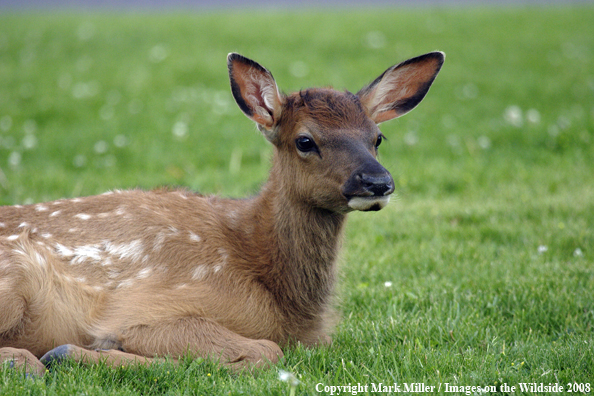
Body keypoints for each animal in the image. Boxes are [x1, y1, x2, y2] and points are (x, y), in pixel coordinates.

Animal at [0, 51, 442, 372]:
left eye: (377, 138)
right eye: (305, 141)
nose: (377, 182)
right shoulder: (147, 306)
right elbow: (266, 351)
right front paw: (87, 350)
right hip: (15, 278)